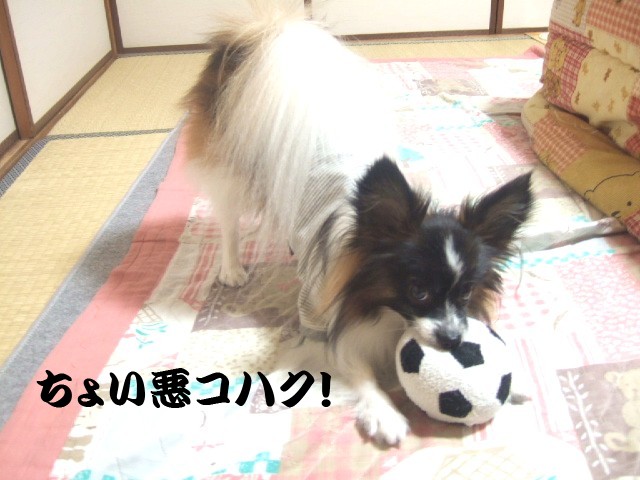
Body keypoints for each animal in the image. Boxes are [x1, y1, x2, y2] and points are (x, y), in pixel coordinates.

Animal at [181, 1, 533, 445]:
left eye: (467, 291)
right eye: (418, 291)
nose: (454, 339)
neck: (384, 311)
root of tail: (259, 36)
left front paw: (514, 383)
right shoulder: (320, 322)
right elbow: (354, 364)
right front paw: (384, 413)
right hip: (226, 166)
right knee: (227, 218)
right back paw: (231, 267)